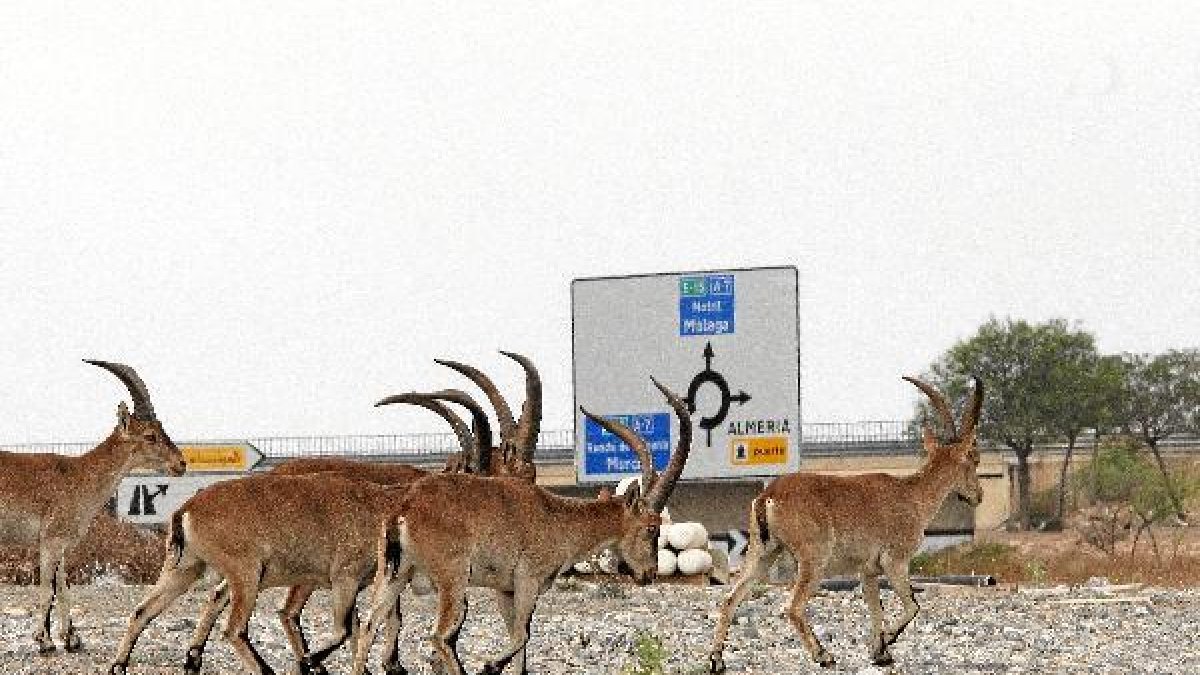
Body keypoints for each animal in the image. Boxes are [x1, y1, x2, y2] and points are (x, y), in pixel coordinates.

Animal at [0, 360, 185, 655]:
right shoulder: (50, 541)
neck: (78, 475)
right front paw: (44, 641)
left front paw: (71, 639)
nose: (181, 463)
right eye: (150, 435)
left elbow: (63, 588)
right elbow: (47, 589)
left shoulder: (61, 545)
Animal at [109, 390, 489, 675]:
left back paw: (126, 664)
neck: (386, 504)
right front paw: (312, 663)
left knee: (143, 610)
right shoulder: (345, 577)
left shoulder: (369, 581)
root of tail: (186, 508)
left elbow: (365, 626)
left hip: (185, 568)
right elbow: (346, 629)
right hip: (247, 574)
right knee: (236, 628)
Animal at [351, 377, 693, 675]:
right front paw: (490, 665)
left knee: (368, 627)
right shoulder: (528, 579)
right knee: (439, 635)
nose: (648, 574)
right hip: (453, 577)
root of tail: (404, 509)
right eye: (651, 527)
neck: (556, 517)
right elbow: (522, 635)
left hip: (393, 575)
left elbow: (519, 642)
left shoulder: (505, 589)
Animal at [708, 376, 984, 671]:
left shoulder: (868, 570)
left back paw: (717, 660)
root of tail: (769, 496)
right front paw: (885, 642)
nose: (978, 495)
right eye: (973, 459)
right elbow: (913, 606)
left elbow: (876, 610)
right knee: (793, 607)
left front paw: (880, 653)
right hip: (813, 557)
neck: (913, 495)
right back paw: (823, 655)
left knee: (730, 599)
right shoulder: (895, 560)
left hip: (762, 551)